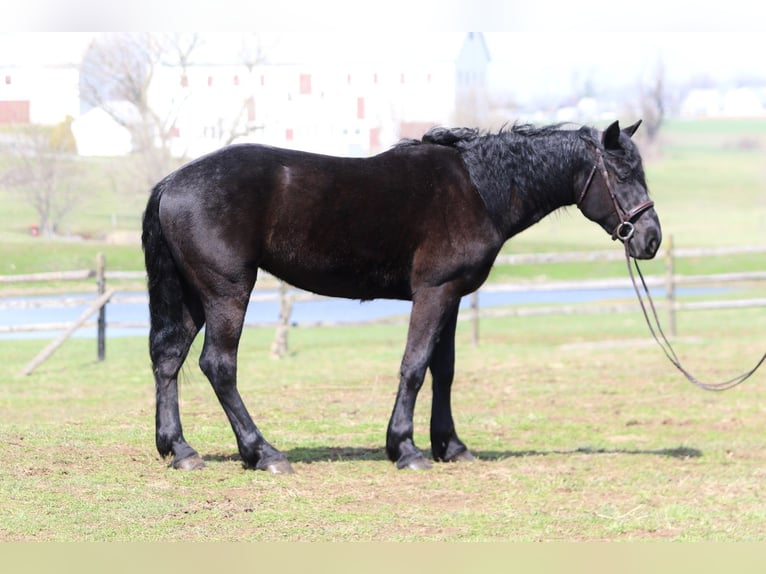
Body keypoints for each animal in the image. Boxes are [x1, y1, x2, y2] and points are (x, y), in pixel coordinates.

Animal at [142, 120, 661, 473]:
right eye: (621, 173)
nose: (650, 239)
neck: (477, 188)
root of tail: (172, 182)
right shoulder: (434, 292)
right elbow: (414, 367)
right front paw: (406, 448)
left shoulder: (452, 296)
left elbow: (443, 370)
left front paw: (451, 446)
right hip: (227, 291)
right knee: (218, 365)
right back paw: (262, 452)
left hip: (192, 296)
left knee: (168, 359)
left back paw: (180, 450)